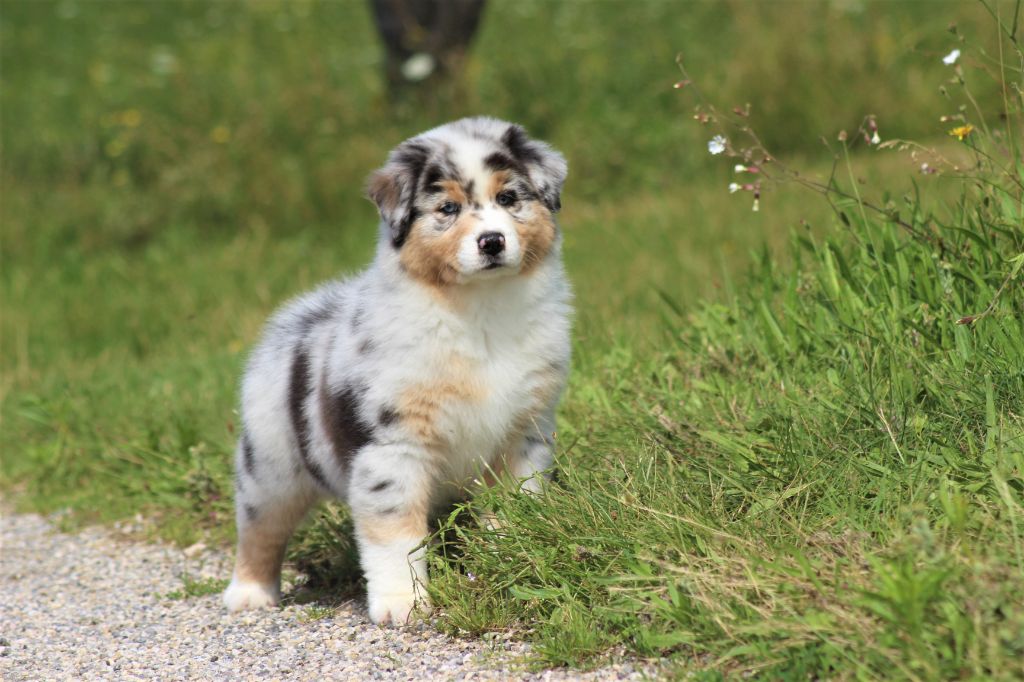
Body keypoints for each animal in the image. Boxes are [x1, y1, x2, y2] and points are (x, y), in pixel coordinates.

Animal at [223, 115, 573, 622]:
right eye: (447, 208)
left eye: (509, 198)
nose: (492, 241)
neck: (480, 310)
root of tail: (302, 313)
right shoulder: (391, 448)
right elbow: (395, 535)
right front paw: (403, 602)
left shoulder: (524, 433)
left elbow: (514, 507)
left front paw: (514, 557)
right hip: (271, 462)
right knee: (260, 526)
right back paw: (249, 592)